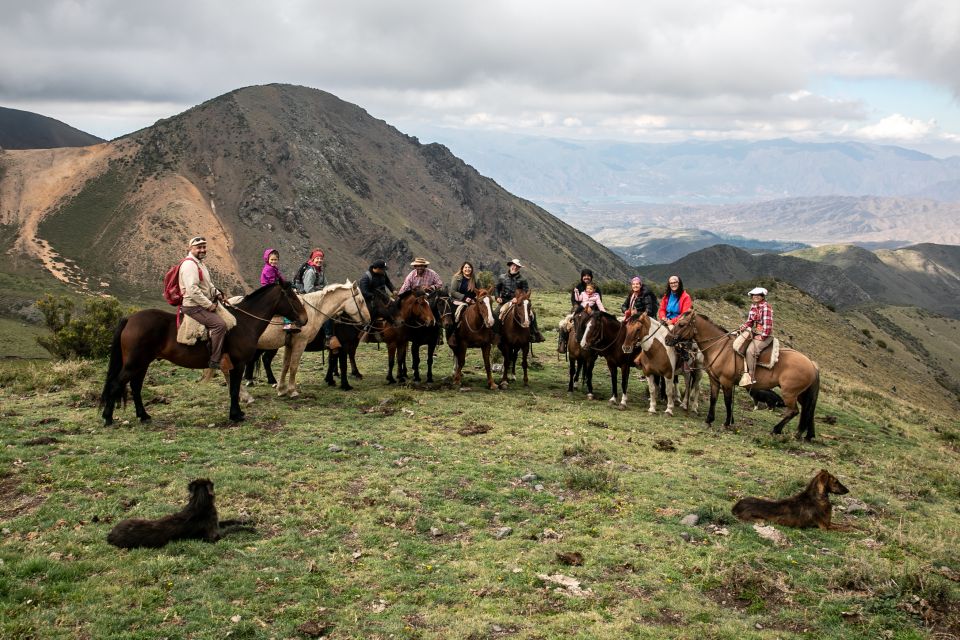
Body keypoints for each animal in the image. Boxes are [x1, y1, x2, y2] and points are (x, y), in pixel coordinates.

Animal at [101, 282, 306, 424]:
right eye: (291, 297)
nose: (304, 319)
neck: (243, 323)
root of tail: (130, 319)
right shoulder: (238, 364)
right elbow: (234, 389)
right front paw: (236, 415)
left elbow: (233, 388)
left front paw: (236, 412)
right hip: (134, 364)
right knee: (116, 384)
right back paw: (108, 418)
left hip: (142, 364)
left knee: (135, 387)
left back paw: (143, 416)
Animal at [108, 478, 255, 548]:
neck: (199, 501)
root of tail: (110, 536)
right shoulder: (214, 537)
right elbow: (232, 529)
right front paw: (249, 529)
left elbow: (231, 521)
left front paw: (247, 521)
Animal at [668, 310, 816, 440]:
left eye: (681, 324)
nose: (667, 340)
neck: (719, 347)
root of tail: (811, 363)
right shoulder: (714, 380)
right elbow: (713, 399)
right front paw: (709, 420)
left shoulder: (726, 382)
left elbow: (728, 401)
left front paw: (727, 423)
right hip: (801, 395)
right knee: (807, 412)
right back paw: (804, 434)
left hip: (789, 394)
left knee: (794, 411)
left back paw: (776, 430)